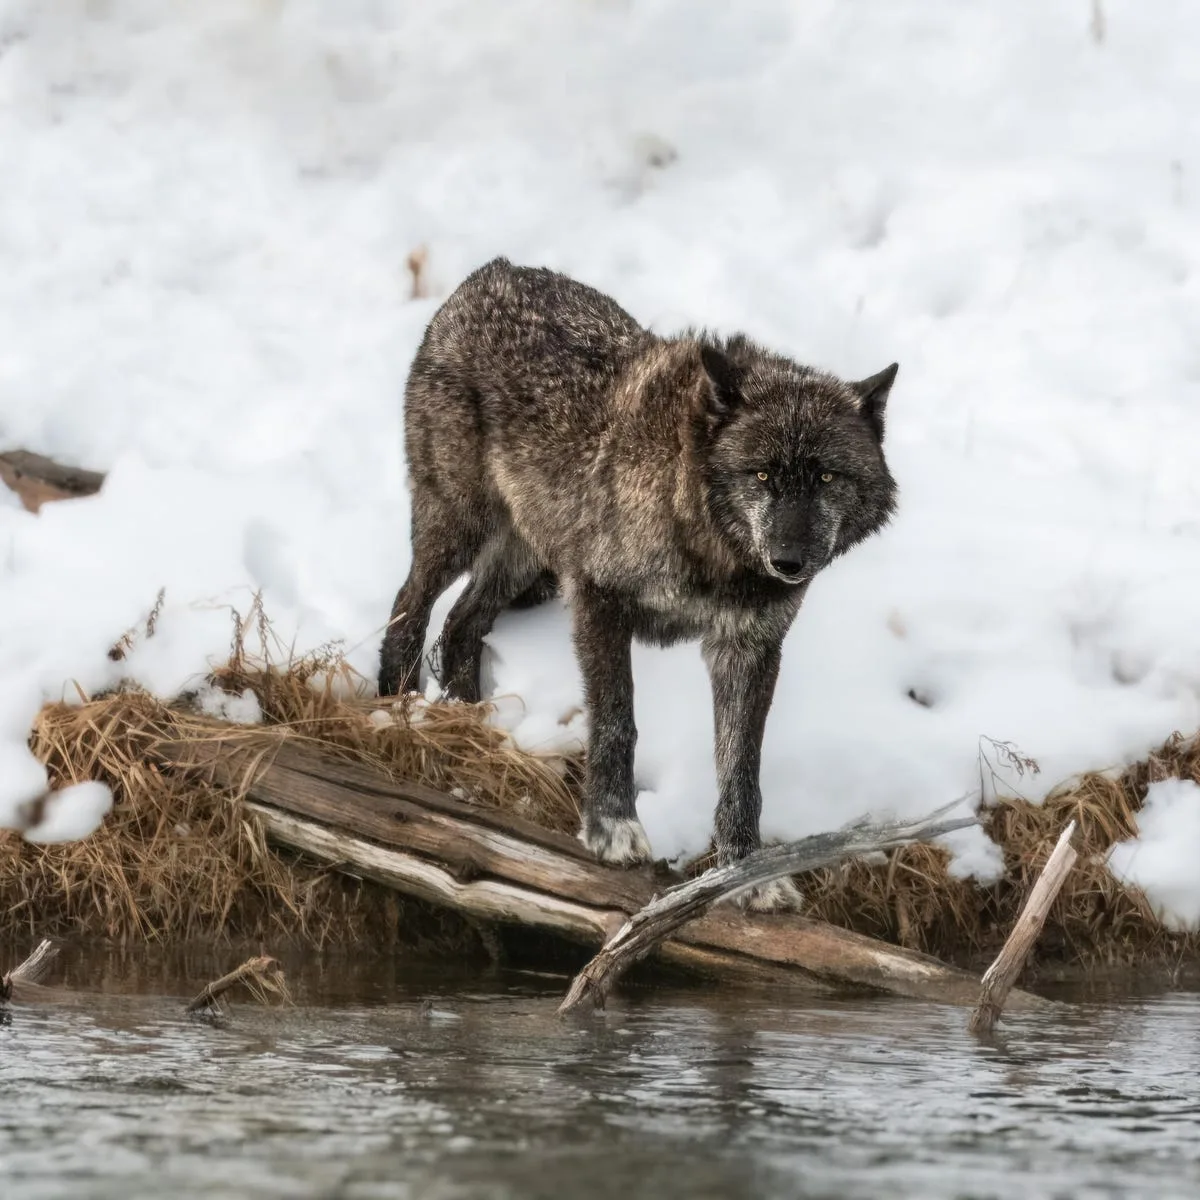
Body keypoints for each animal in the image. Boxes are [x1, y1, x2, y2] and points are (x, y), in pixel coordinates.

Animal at [378, 257, 899, 910]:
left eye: (827, 476)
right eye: (760, 475)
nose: (789, 561)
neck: (711, 546)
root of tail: (489, 273)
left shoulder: (747, 648)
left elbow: (742, 769)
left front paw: (745, 872)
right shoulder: (599, 599)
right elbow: (617, 720)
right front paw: (612, 828)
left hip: (524, 551)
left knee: (461, 622)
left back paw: (471, 723)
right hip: (460, 527)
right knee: (411, 604)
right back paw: (397, 707)